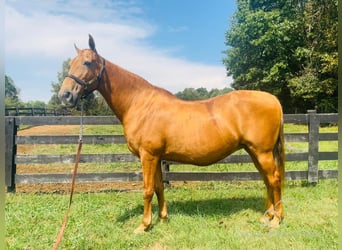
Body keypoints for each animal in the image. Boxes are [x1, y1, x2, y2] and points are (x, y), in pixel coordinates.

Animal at [59, 34, 286, 232]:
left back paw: (277, 219)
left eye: (88, 62)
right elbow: (159, 187)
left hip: (262, 152)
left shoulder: (148, 156)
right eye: (71, 63)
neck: (140, 104)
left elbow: (147, 190)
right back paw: (267, 215)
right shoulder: (157, 157)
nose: (65, 95)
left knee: (274, 179)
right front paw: (163, 218)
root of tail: (273, 99)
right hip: (254, 152)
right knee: (266, 180)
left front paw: (144, 225)